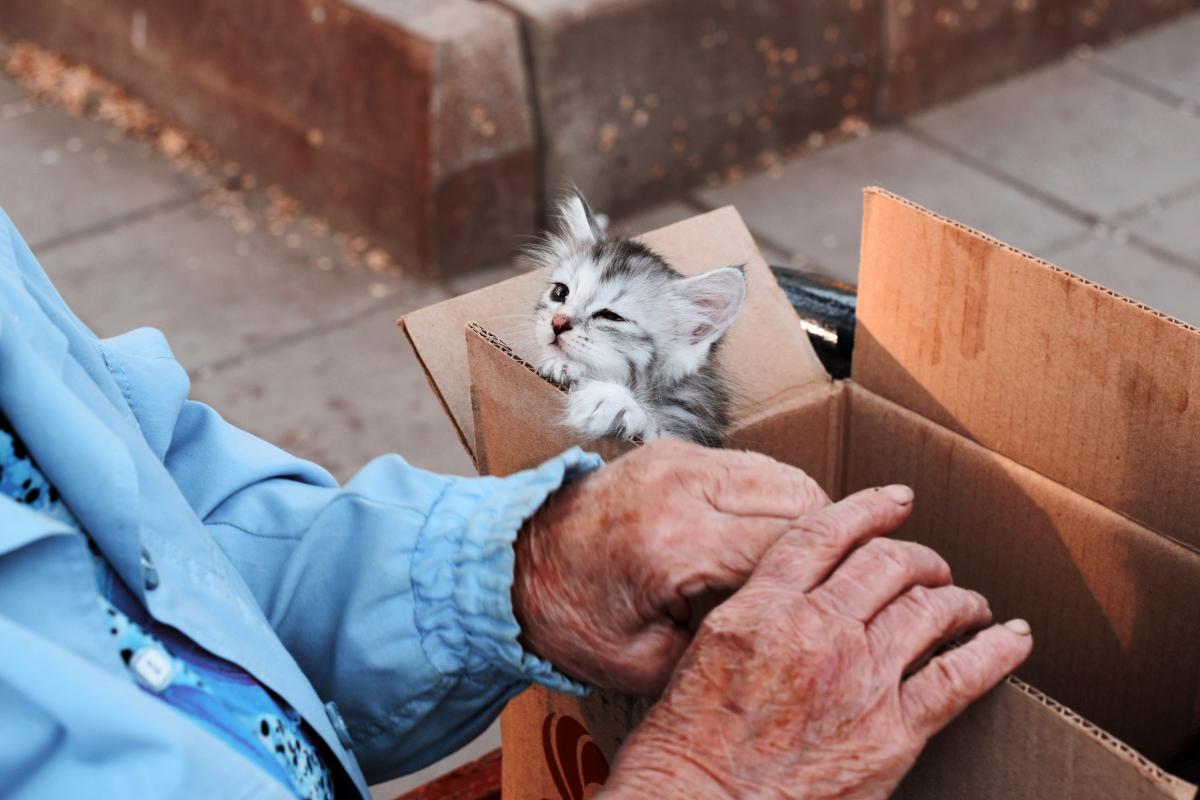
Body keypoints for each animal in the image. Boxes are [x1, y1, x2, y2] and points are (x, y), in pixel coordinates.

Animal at [530, 190, 744, 448]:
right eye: (560, 293)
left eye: (611, 316)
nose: (558, 322)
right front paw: (562, 366)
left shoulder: (693, 431)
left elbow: (657, 436)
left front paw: (611, 401)